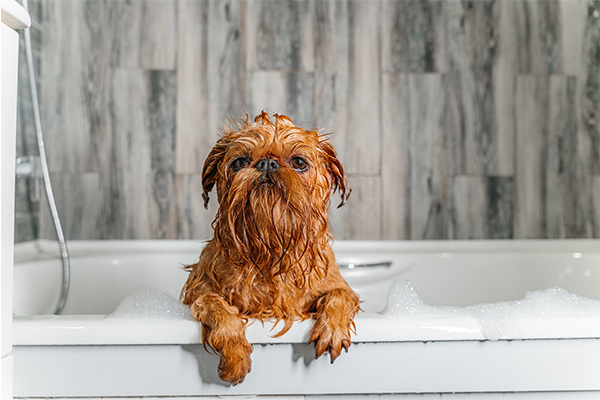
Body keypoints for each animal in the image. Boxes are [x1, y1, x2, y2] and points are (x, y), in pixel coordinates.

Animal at [180, 111, 360, 384]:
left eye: (299, 162)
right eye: (239, 162)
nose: (267, 163)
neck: (270, 251)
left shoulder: (338, 286)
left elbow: (339, 296)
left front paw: (332, 330)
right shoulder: (198, 290)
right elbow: (216, 305)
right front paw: (235, 352)